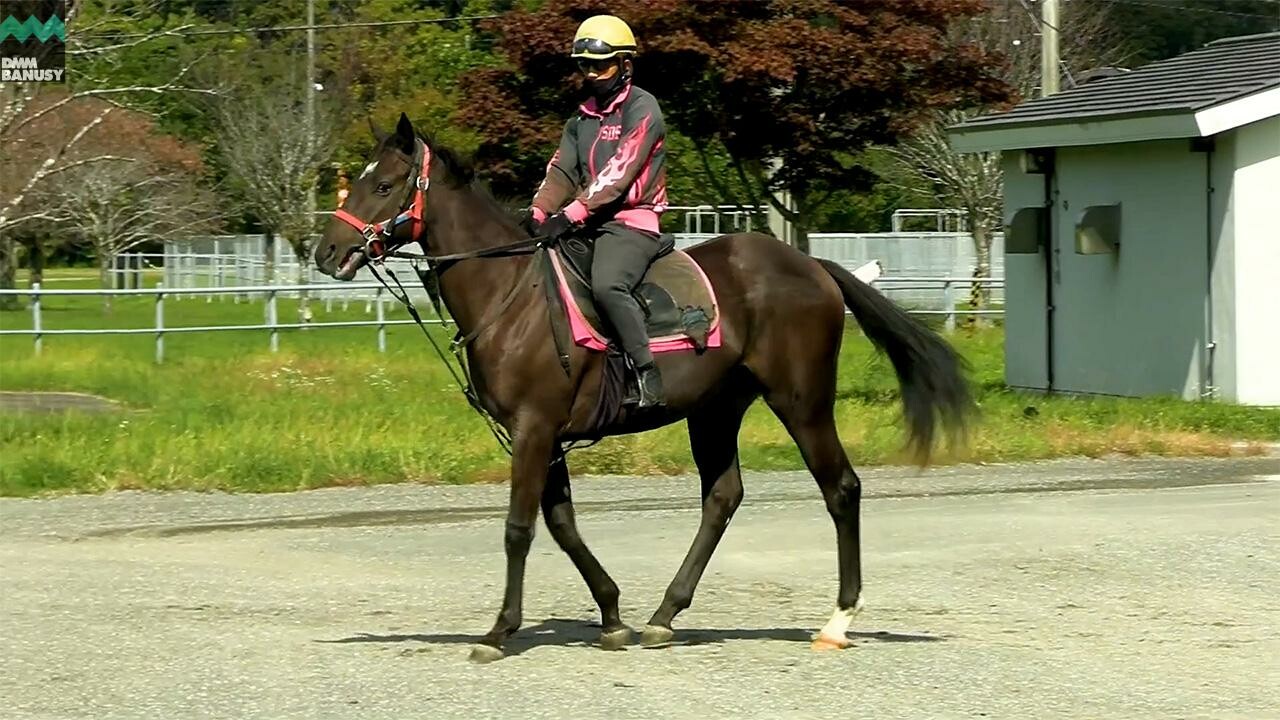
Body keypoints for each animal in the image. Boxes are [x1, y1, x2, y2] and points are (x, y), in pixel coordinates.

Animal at [312, 113, 967, 661]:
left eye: (384, 185)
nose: (327, 251)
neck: (511, 291)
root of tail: (812, 267)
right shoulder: (548, 438)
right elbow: (563, 526)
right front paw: (611, 615)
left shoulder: (534, 429)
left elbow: (520, 528)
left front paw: (500, 631)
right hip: (714, 411)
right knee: (722, 498)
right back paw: (664, 614)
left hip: (801, 402)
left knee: (842, 489)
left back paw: (837, 620)